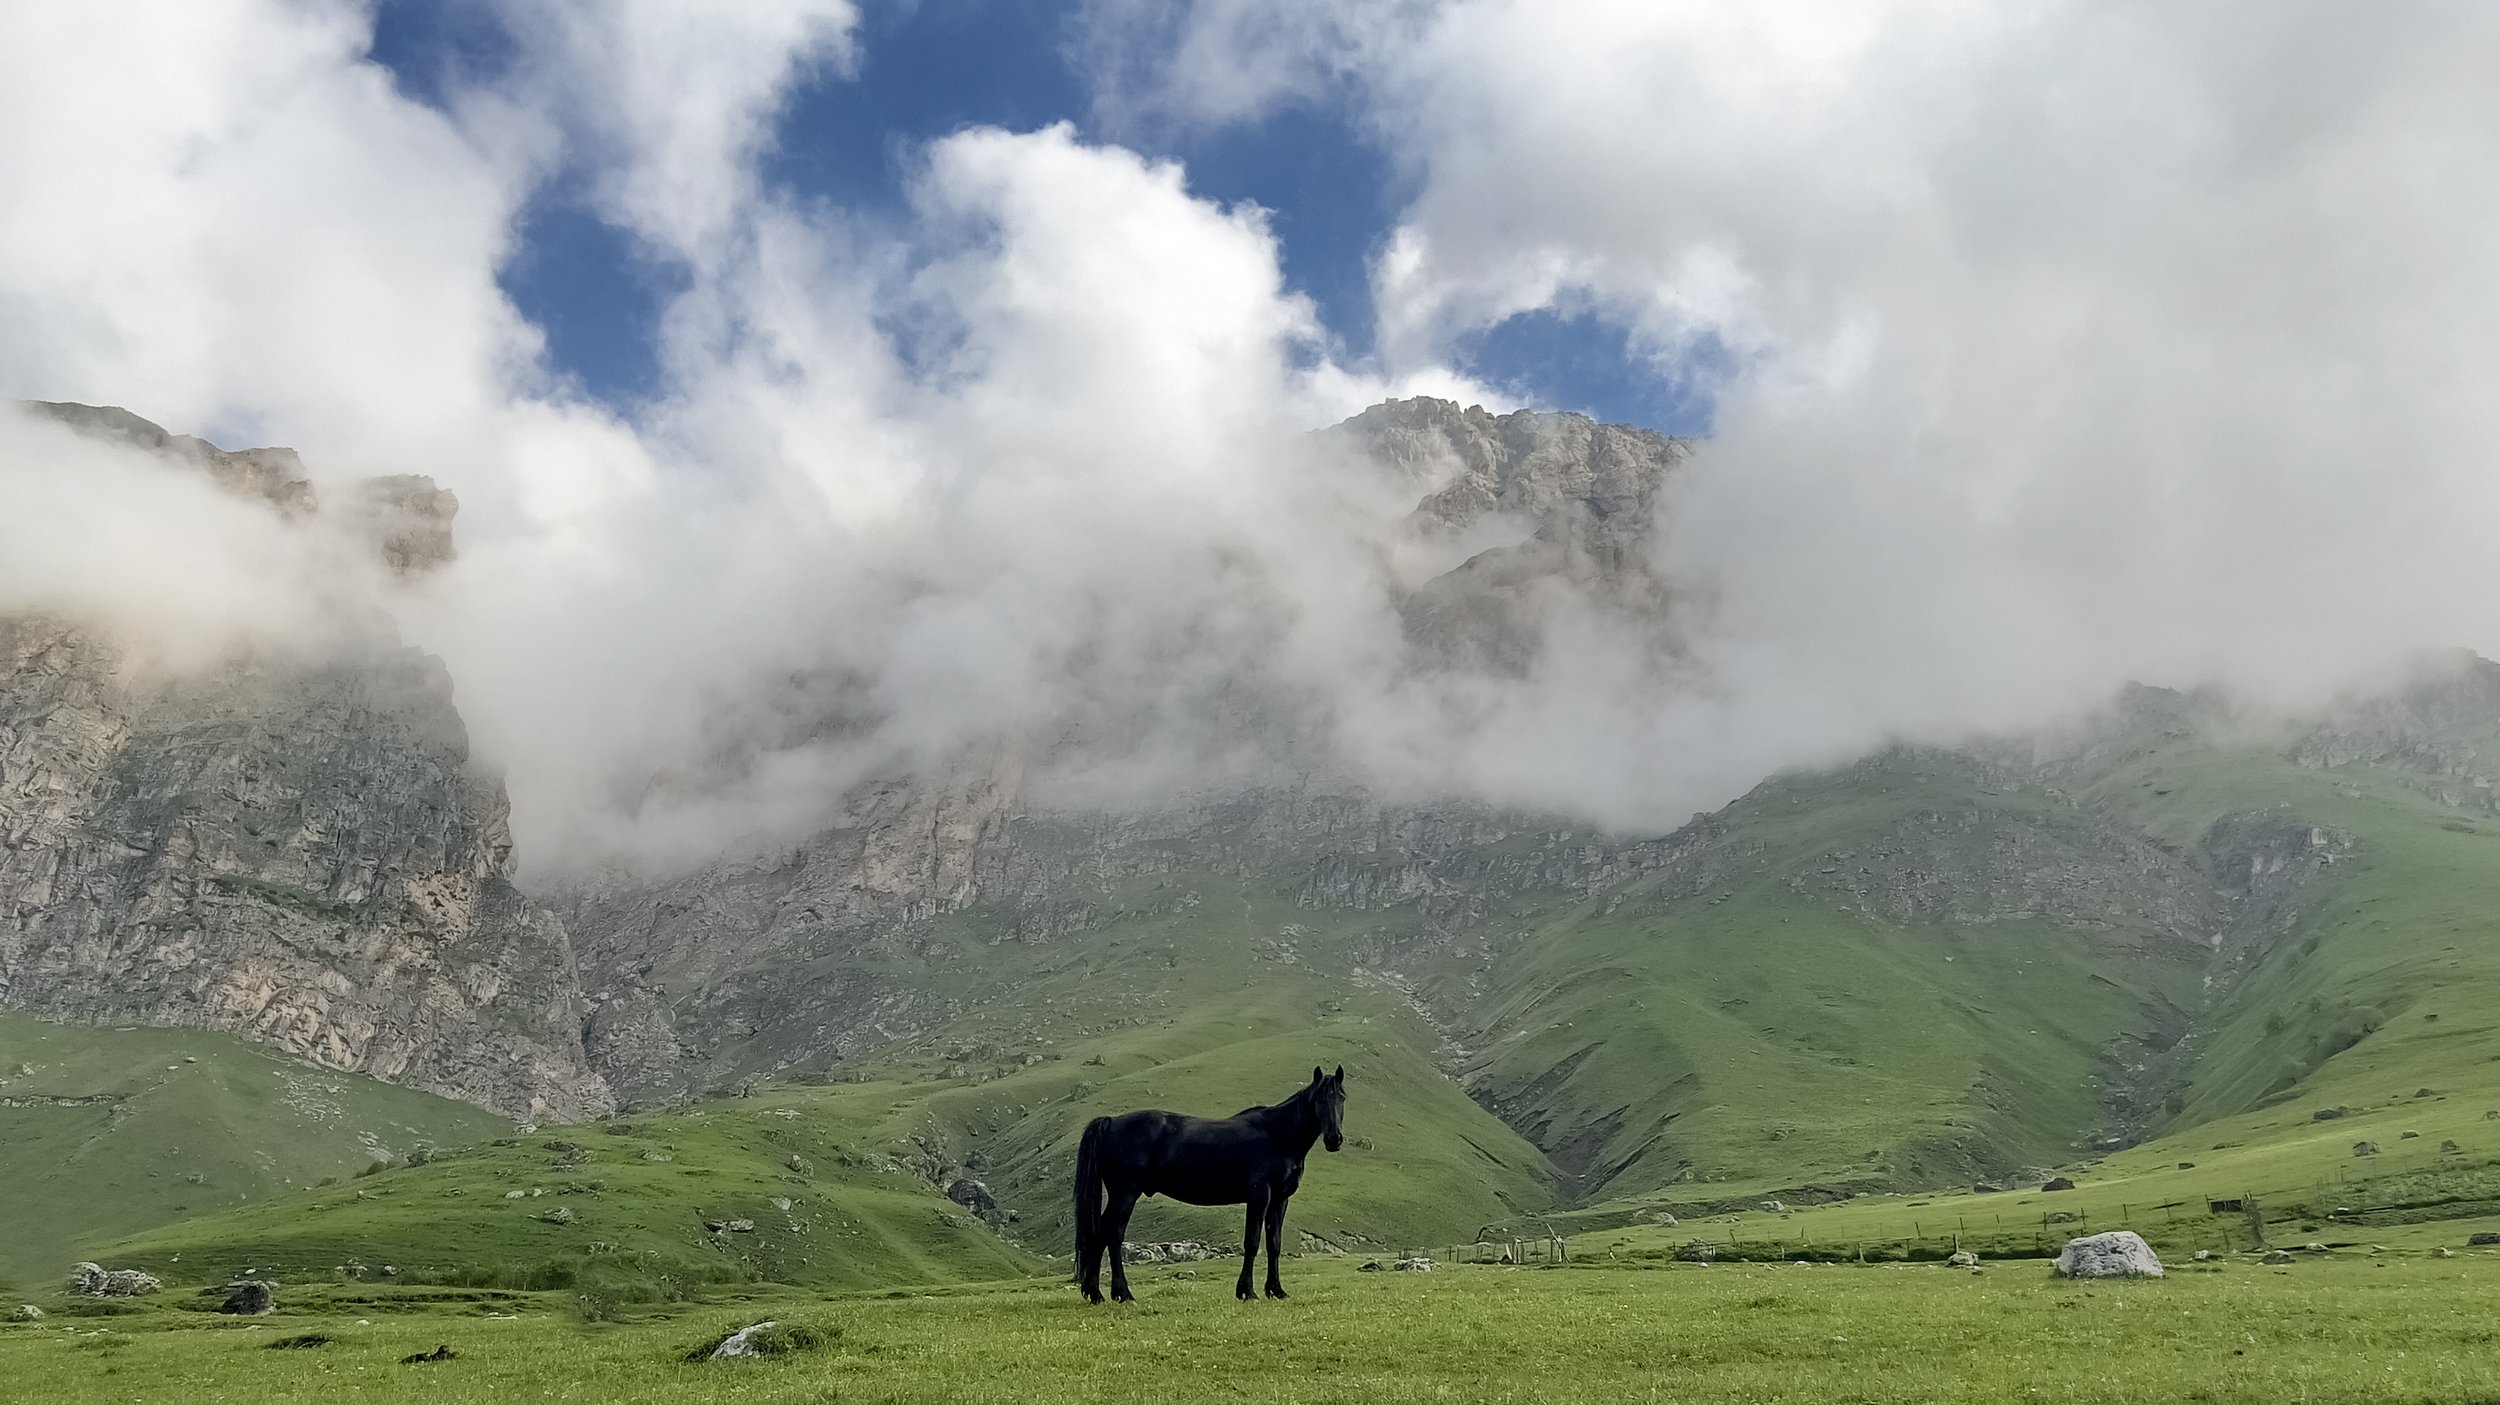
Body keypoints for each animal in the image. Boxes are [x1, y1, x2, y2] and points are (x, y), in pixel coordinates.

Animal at [1075, 1060, 1350, 1300]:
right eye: (1319, 1099)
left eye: (1342, 1097)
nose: (1334, 1139)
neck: (1278, 1135)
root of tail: (1111, 1122)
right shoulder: (1259, 1196)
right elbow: (1252, 1242)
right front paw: (1247, 1291)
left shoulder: (1280, 1199)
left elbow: (1274, 1244)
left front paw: (1276, 1290)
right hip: (1126, 1193)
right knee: (1114, 1236)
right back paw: (1123, 1294)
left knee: (1100, 1234)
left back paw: (1095, 1293)